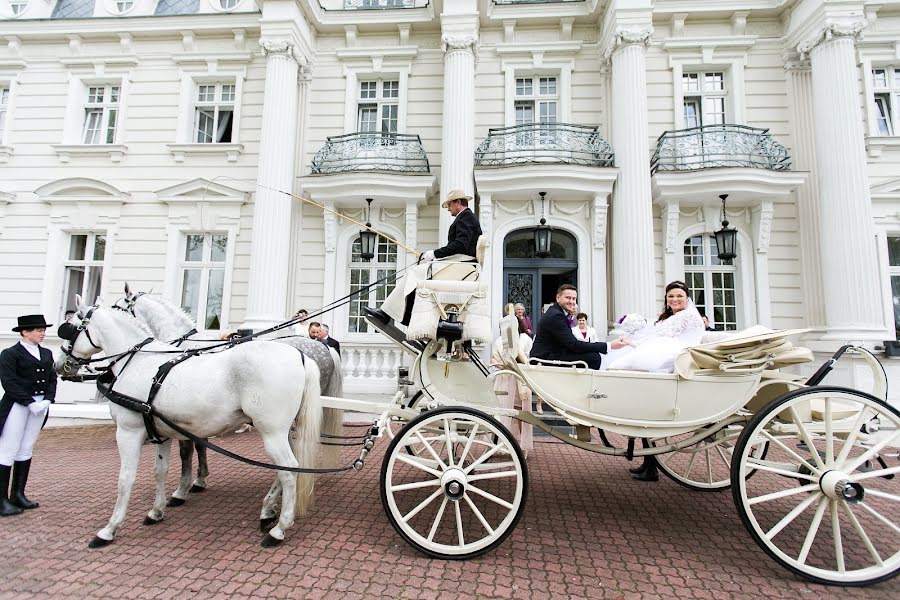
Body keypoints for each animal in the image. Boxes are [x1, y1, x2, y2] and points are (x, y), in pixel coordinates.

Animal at [60, 296, 320, 548]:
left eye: (69, 328)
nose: (60, 363)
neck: (140, 361)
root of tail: (300, 356)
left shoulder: (128, 432)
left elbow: (126, 478)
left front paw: (109, 529)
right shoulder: (160, 431)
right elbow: (161, 470)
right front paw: (157, 510)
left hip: (272, 432)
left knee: (289, 470)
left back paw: (279, 529)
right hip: (281, 430)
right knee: (288, 468)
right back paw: (268, 511)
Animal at [118, 286, 342, 510]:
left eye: (118, 306)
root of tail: (323, 347)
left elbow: (187, 451)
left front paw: (182, 490)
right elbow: (200, 444)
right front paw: (199, 479)